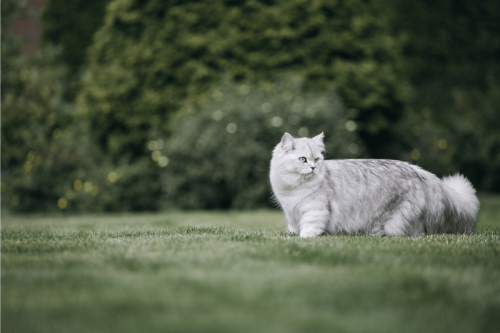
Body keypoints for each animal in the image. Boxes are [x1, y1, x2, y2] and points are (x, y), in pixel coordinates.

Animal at [270, 131, 480, 237]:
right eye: (303, 159)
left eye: (317, 159)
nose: (314, 168)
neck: (293, 188)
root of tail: (419, 171)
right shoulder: (291, 214)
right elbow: (293, 229)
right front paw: (292, 237)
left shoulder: (315, 211)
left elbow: (309, 229)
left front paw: (303, 239)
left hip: (388, 216)